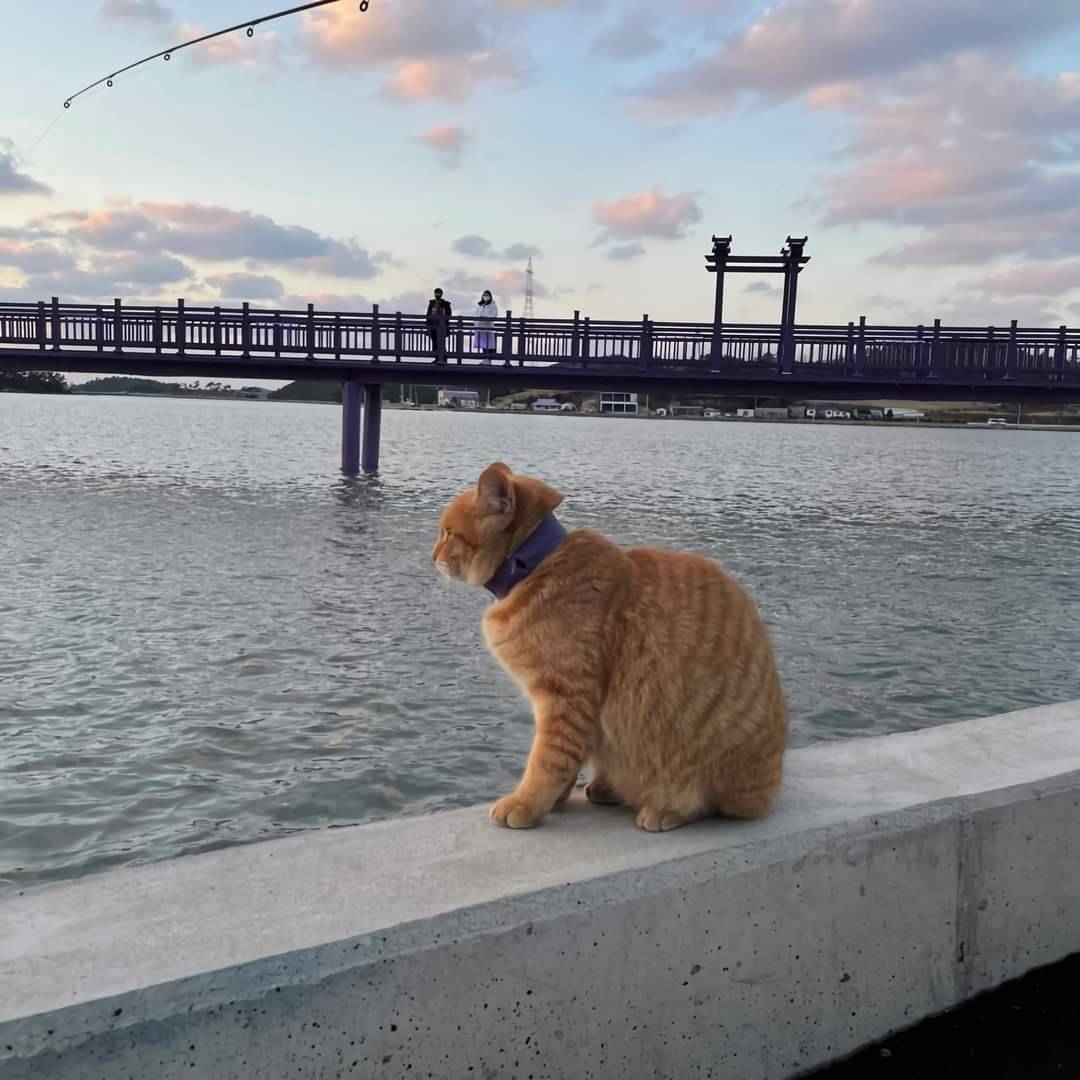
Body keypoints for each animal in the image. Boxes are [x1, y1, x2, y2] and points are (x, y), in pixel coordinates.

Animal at [434, 460, 790, 829]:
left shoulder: (566, 699)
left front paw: (526, 803)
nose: (432, 555)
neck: (534, 567)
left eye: (447, 532)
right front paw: (555, 799)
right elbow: (566, 762)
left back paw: (665, 809)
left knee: (707, 802)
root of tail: (769, 788)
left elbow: (547, 761)